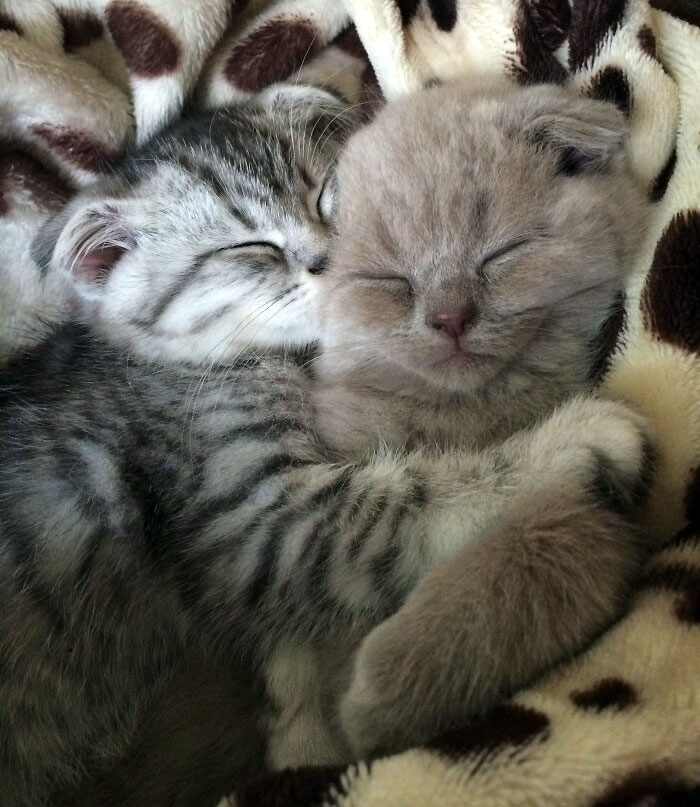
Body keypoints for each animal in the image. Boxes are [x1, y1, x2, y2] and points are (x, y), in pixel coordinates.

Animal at [314, 79, 652, 756]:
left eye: (503, 253)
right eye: (389, 281)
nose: (450, 318)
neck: (470, 412)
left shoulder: (595, 515)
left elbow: (533, 551)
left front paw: (387, 692)